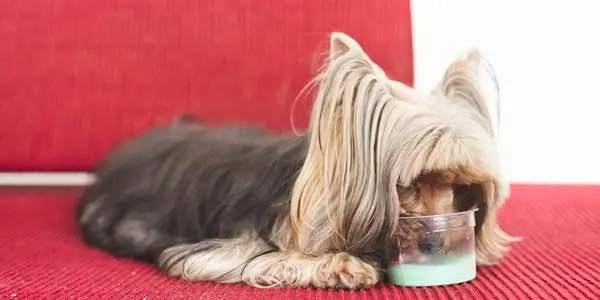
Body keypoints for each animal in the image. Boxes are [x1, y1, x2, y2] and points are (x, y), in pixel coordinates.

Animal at [75, 32, 516, 288]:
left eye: (464, 189)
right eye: (407, 185)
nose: (435, 242)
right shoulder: (214, 250)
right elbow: (261, 257)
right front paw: (341, 264)